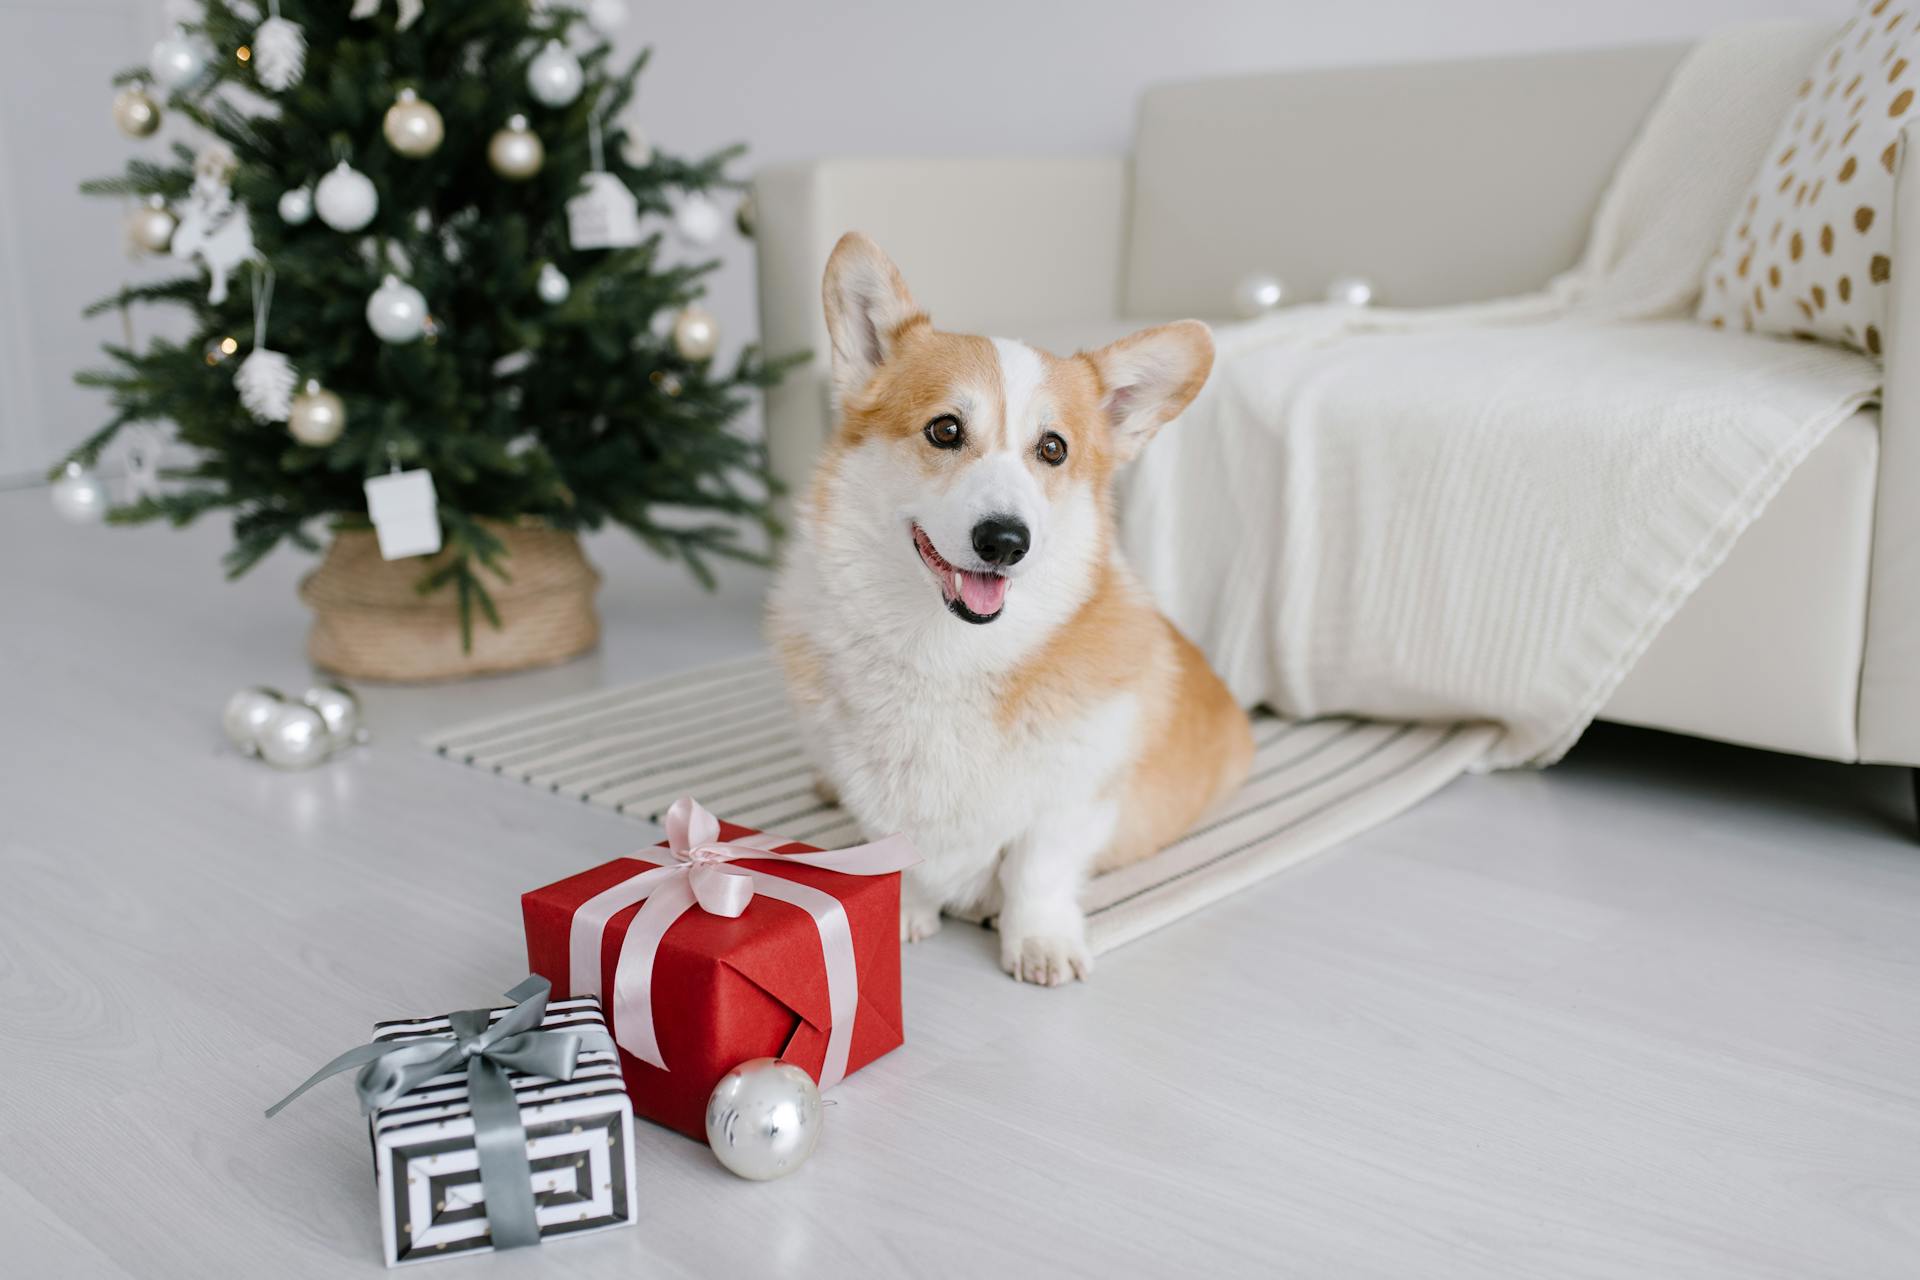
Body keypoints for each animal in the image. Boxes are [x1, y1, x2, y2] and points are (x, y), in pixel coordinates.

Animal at [768, 235, 1259, 990]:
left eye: (1052, 449)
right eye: (944, 430)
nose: (1003, 541)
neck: (948, 653)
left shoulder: (1072, 801)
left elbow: (1037, 872)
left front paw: (1038, 941)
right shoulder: (881, 794)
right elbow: (902, 850)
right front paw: (906, 911)